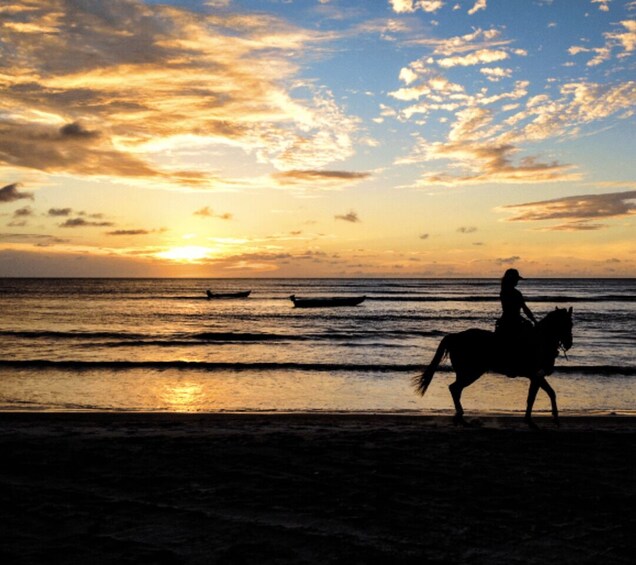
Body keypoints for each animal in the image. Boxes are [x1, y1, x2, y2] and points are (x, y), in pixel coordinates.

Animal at [414, 308, 572, 428]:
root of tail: (455, 336)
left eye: (571, 324)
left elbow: (550, 393)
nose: (569, 344)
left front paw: (555, 419)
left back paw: (460, 419)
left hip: (465, 373)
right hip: (471, 372)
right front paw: (531, 422)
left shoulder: (538, 376)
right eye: (566, 324)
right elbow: (532, 398)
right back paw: (461, 418)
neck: (540, 340)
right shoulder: (535, 375)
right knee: (455, 388)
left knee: (456, 390)